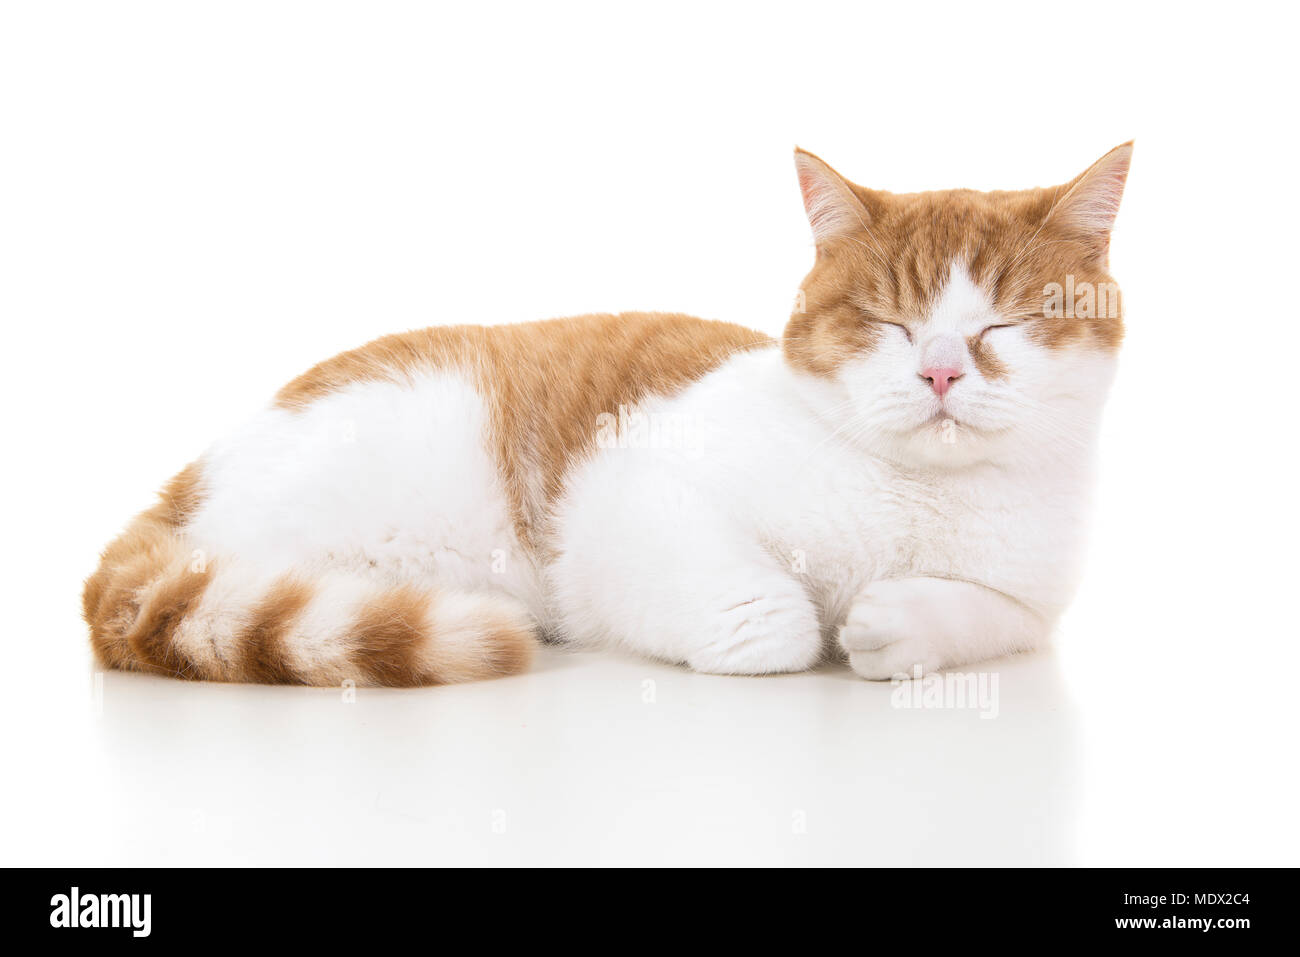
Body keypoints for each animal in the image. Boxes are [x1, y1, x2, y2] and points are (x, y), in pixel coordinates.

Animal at [86, 141, 1133, 686]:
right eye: (887, 320)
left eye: (1005, 319)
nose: (942, 373)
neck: (920, 497)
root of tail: (183, 483)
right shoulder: (624, 500)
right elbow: (774, 621)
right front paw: (810, 622)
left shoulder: (1036, 598)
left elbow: (990, 617)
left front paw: (898, 618)